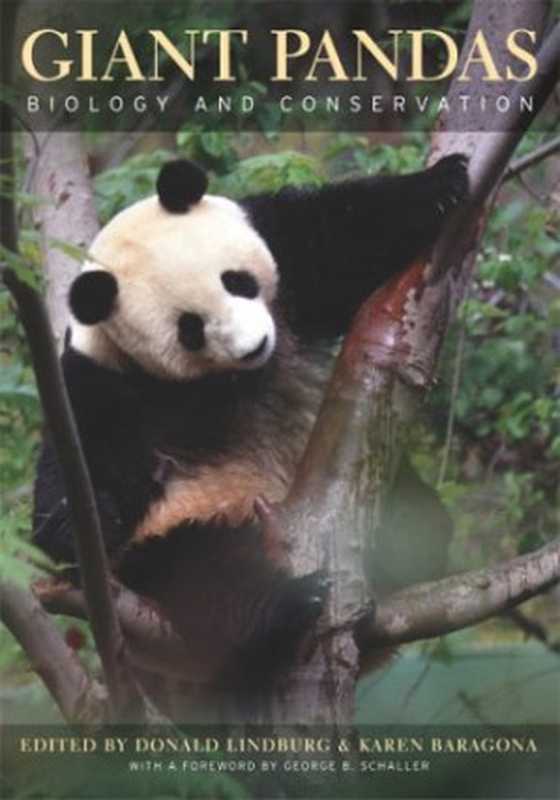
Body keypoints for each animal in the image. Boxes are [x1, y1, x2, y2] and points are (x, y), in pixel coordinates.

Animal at [34, 154, 468, 694]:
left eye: (236, 281)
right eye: (190, 328)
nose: (254, 346)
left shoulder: (284, 252)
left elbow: (343, 235)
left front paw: (443, 181)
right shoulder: (102, 383)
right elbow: (74, 477)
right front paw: (84, 524)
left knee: (421, 516)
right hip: (184, 542)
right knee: (204, 575)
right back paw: (287, 605)